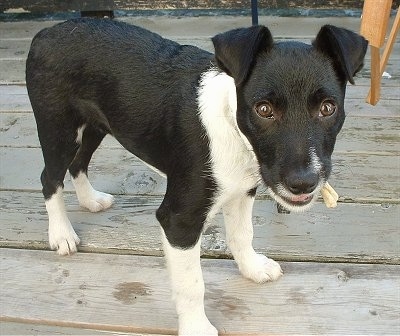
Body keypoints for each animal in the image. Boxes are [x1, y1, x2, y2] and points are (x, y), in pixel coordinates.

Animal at [26, 19, 368, 334]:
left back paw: (90, 200)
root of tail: (47, 32)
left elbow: (242, 235)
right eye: (263, 109)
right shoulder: (179, 220)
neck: (234, 130)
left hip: (96, 124)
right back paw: (61, 234)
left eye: (328, 108)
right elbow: (191, 285)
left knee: (78, 163)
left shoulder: (242, 190)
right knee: (49, 177)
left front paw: (252, 268)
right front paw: (196, 328)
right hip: (59, 129)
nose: (303, 181)